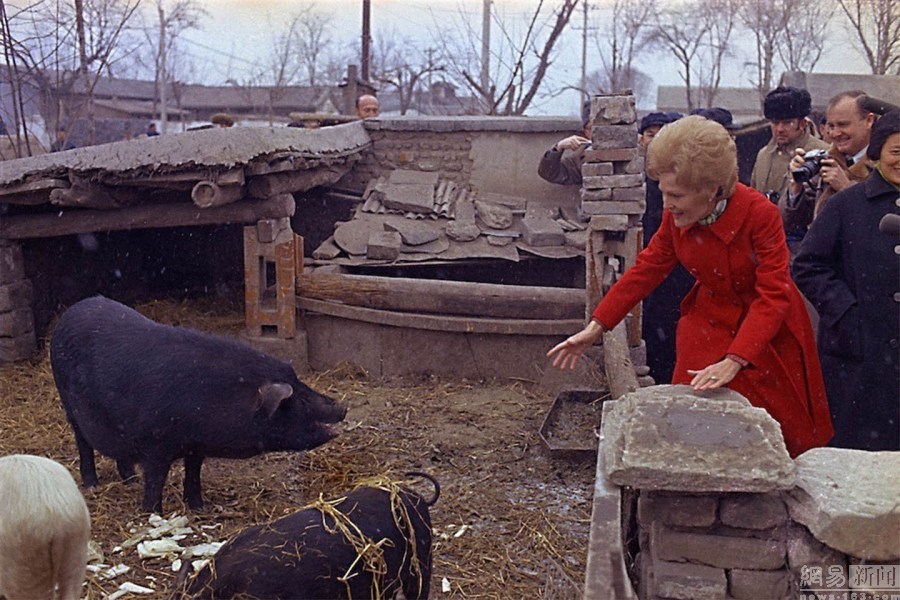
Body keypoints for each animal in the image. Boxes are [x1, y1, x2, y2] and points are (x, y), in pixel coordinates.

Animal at [50, 296, 344, 510]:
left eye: (299, 381)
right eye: (296, 398)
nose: (342, 406)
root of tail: (70, 313)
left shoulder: (195, 446)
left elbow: (193, 474)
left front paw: (198, 508)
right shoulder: (154, 444)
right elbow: (156, 480)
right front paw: (152, 513)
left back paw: (131, 481)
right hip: (69, 404)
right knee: (83, 443)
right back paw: (92, 485)